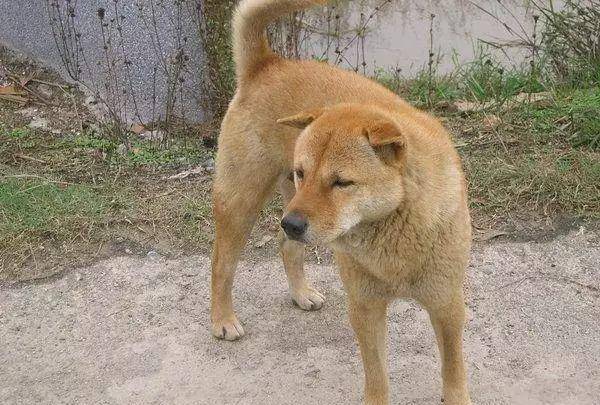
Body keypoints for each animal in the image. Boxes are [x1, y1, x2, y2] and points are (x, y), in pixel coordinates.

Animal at [211, 1, 474, 402]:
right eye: (304, 172)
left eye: (341, 182)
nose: (293, 223)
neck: (394, 227)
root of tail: (269, 63)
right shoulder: (365, 308)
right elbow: (377, 376)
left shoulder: (446, 305)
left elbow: (453, 369)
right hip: (244, 203)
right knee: (221, 265)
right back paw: (223, 319)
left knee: (287, 247)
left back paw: (300, 292)